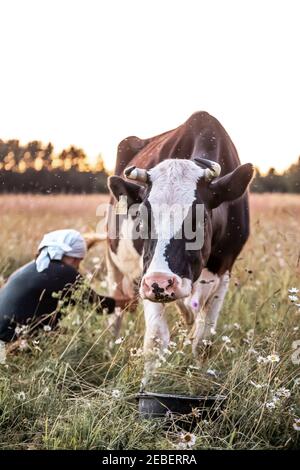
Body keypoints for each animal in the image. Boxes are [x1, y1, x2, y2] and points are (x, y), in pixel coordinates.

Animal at [105, 112, 253, 384]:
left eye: (198, 218)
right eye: (141, 217)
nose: (162, 283)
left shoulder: (224, 272)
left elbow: (203, 341)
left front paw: (201, 378)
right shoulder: (146, 276)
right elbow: (155, 340)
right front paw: (147, 384)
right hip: (114, 267)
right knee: (116, 311)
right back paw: (111, 346)